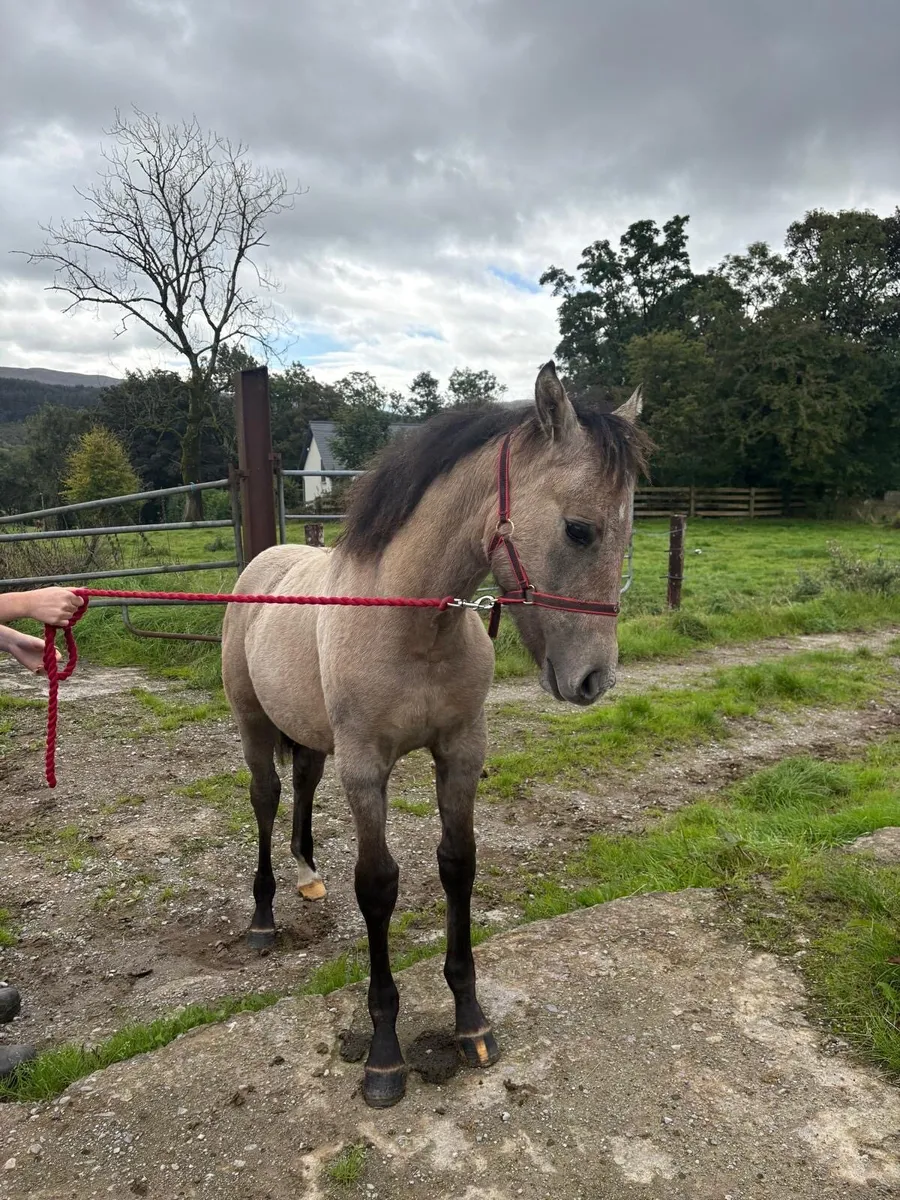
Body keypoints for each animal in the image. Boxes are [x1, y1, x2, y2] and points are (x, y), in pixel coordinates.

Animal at [221, 361, 647, 1107]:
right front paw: (384, 1057)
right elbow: (377, 886)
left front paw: (471, 1021)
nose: (595, 679)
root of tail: (264, 562)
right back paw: (264, 919)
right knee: (267, 798)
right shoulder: (366, 768)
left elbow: (458, 865)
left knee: (301, 788)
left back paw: (308, 878)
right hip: (254, 726)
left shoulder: (460, 753)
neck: (409, 621)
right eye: (577, 529)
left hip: (311, 738)